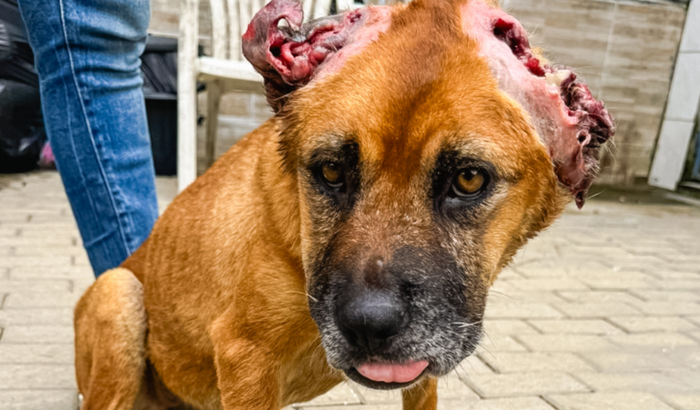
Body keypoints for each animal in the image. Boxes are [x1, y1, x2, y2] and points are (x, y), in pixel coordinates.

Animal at [73, 0, 614, 408]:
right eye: (331, 170)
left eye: (468, 178)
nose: (370, 327)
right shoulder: (244, 356)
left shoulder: (423, 372)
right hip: (120, 296)